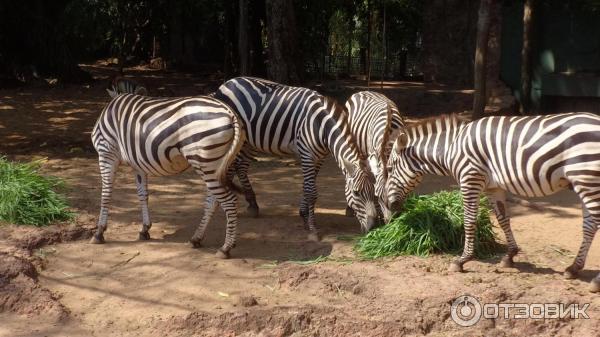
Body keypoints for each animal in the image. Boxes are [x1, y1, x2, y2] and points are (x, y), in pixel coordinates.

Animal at [91, 90, 244, 256]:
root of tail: (229, 112)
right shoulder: (138, 164)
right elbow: (143, 195)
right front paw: (145, 229)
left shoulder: (106, 153)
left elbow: (105, 194)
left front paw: (99, 232)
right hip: (217, 166)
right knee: (213, 201)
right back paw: (196, 238)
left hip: (206, 162)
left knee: (230, 201)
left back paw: (225, 248)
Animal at [213, 76, 378, 239]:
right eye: (356, 193)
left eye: (374, 193)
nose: (373, 227)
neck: (321, 126)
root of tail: (227, 82)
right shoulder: (307, 155)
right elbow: (311, 192)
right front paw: (312, 228)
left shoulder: (319, 158)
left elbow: (307, 186)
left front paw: (303, 215)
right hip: (238, 140)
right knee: (230, 167)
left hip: (250, 142)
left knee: (239, 167)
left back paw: (251, 204)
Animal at [386, 113, 600, 292]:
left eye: (388, 169)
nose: (389, 206)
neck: (450, 149)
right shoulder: (493, 187)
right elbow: (503, 219)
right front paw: (510, 256)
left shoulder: (470, 179)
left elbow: (469, 221)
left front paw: (462, 260)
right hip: (585, 182)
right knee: (589, 226)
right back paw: (573, 268)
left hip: (586, 179)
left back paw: (595, 281)